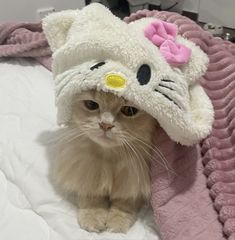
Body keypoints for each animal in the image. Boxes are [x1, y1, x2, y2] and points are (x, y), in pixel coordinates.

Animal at [52, 89, 157, 232]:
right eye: (91, 104)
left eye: (129, 110)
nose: (105, 125)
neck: (109, 157)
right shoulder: (86, 173)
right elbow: (92, 198)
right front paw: (93, 217)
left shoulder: (135, 182)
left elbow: (124, 204)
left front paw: (117, 223)